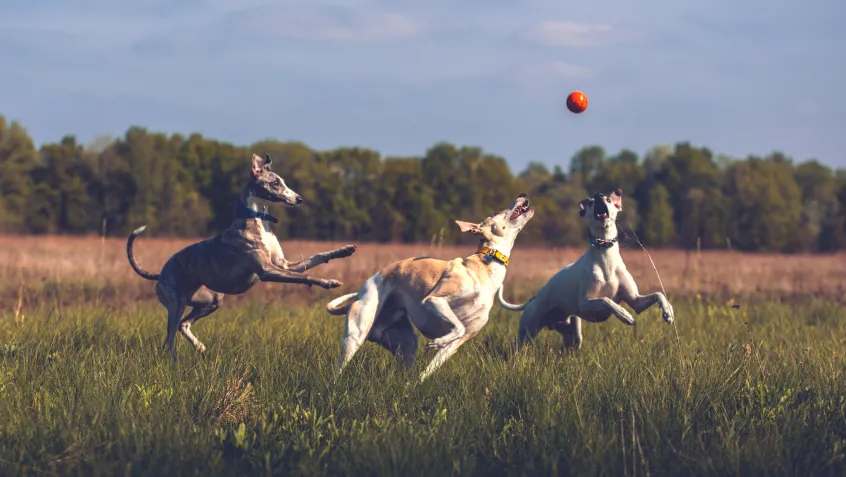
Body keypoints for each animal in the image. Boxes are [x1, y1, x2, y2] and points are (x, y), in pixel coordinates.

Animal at [128, 152, 358, 356]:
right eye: (276, 183)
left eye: (282, 181)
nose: (299, 199)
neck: (258, 220)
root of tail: (160, 273)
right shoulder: (267, 270)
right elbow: (305, 276)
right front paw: (327, 282)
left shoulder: (283, 264)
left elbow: (317, 257)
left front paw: (344, 250)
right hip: (175, 305)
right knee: (169, 341)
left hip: (212, 300)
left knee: (183, 325)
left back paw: (200, 347)